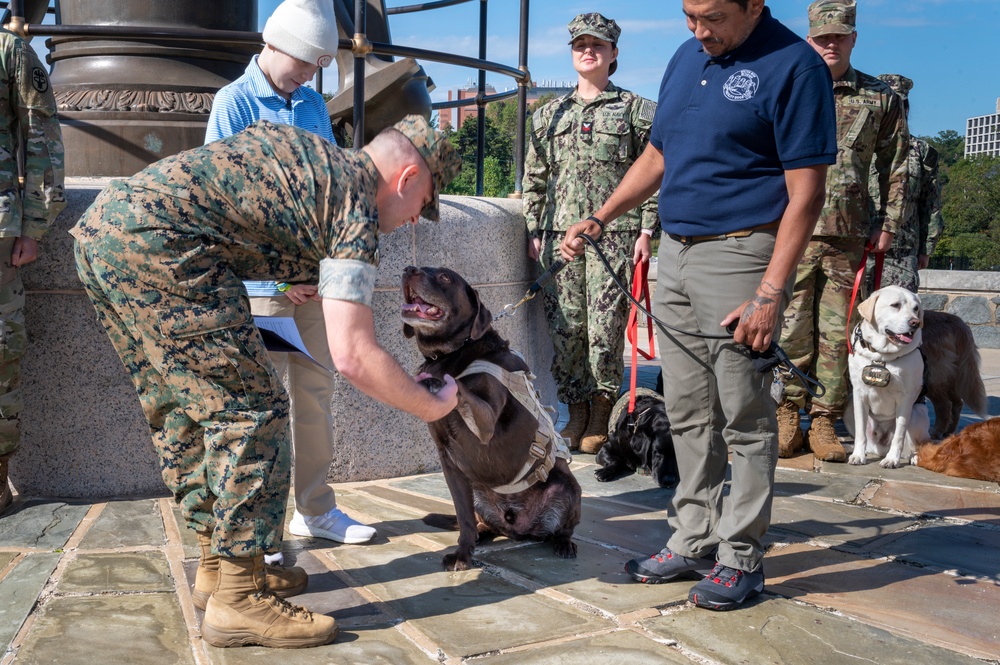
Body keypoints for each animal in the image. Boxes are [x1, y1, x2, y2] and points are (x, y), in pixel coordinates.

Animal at [848, 286, 932, 466]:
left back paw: (913, 456)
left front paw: (892, 459)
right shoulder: (858, 394)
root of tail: (881, 447)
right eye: (895, 305)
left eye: (916, 308)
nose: (915, 323)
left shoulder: (905, 399)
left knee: (916, 444)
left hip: (917, 414)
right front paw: (858, 455)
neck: (882, 355)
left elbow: (899, 435)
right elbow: (860, 432)